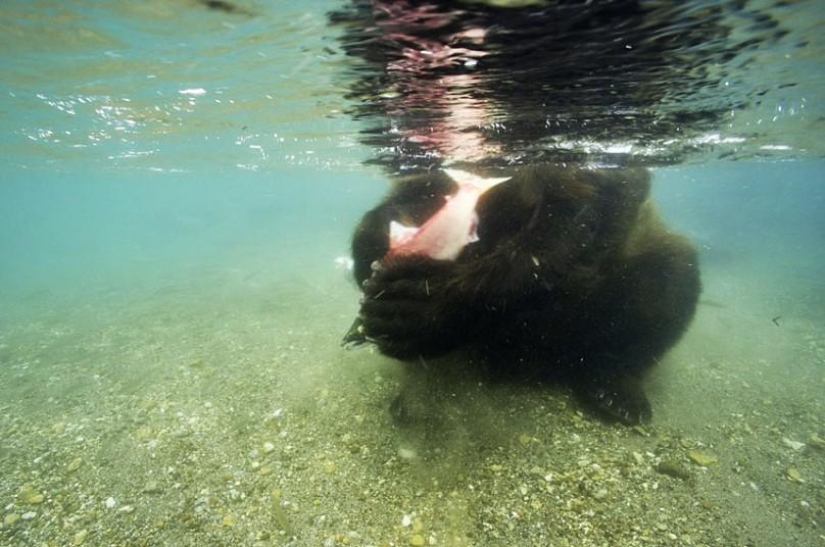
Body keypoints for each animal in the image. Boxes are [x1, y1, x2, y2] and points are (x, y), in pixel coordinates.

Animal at [346, 164, 700, 425]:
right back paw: (411, 400)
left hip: (653, 263)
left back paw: (617, 395)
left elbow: (571, 216)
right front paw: (373, 265)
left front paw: (408, 310)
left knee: (669, 285)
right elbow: (404, 198)